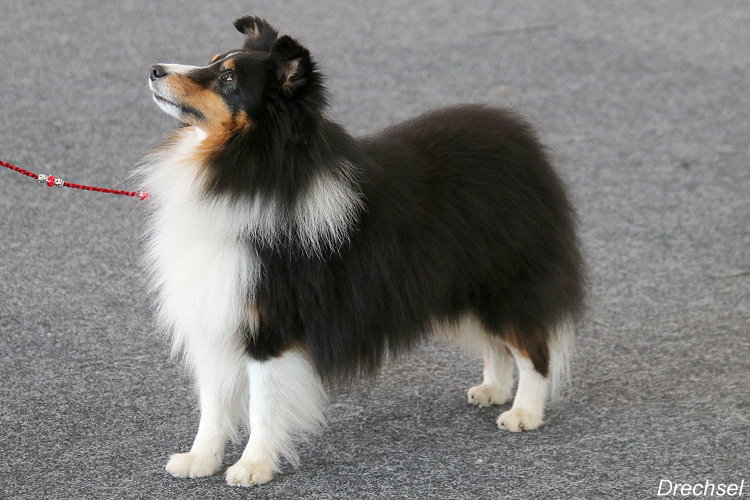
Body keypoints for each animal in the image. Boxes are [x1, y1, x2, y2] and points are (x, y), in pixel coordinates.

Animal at [140, 16, 588, 488]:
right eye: (212, 61)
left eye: (228, 79)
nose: (154, 69)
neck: (247, 170)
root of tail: (521, 139)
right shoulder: (217, 313)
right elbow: (212, 402)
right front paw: (199, 460)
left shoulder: (272, 325)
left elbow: (264, 402)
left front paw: (252, 466)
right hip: (463, 287)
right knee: (496, 344)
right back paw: (494, 390)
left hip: (504, 282)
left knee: (532, 346)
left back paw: (524, 413)